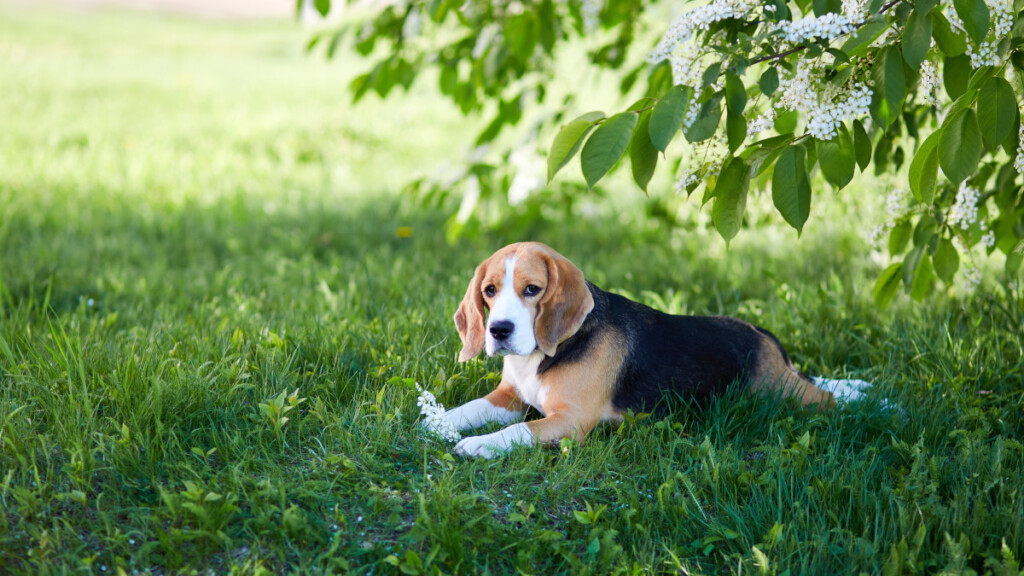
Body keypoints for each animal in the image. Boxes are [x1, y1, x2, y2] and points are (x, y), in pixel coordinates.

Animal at [444, 239, 868, 455]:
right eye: (490, 291)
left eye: (532, 289)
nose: (499, 330)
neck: (541, 356)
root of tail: (759, 331)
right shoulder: (510, 396)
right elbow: (468, 409)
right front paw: (438, 421)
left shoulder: (570, 420)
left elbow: (517, 431)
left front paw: (479, 443)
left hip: (779, 392)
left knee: (827, 398)